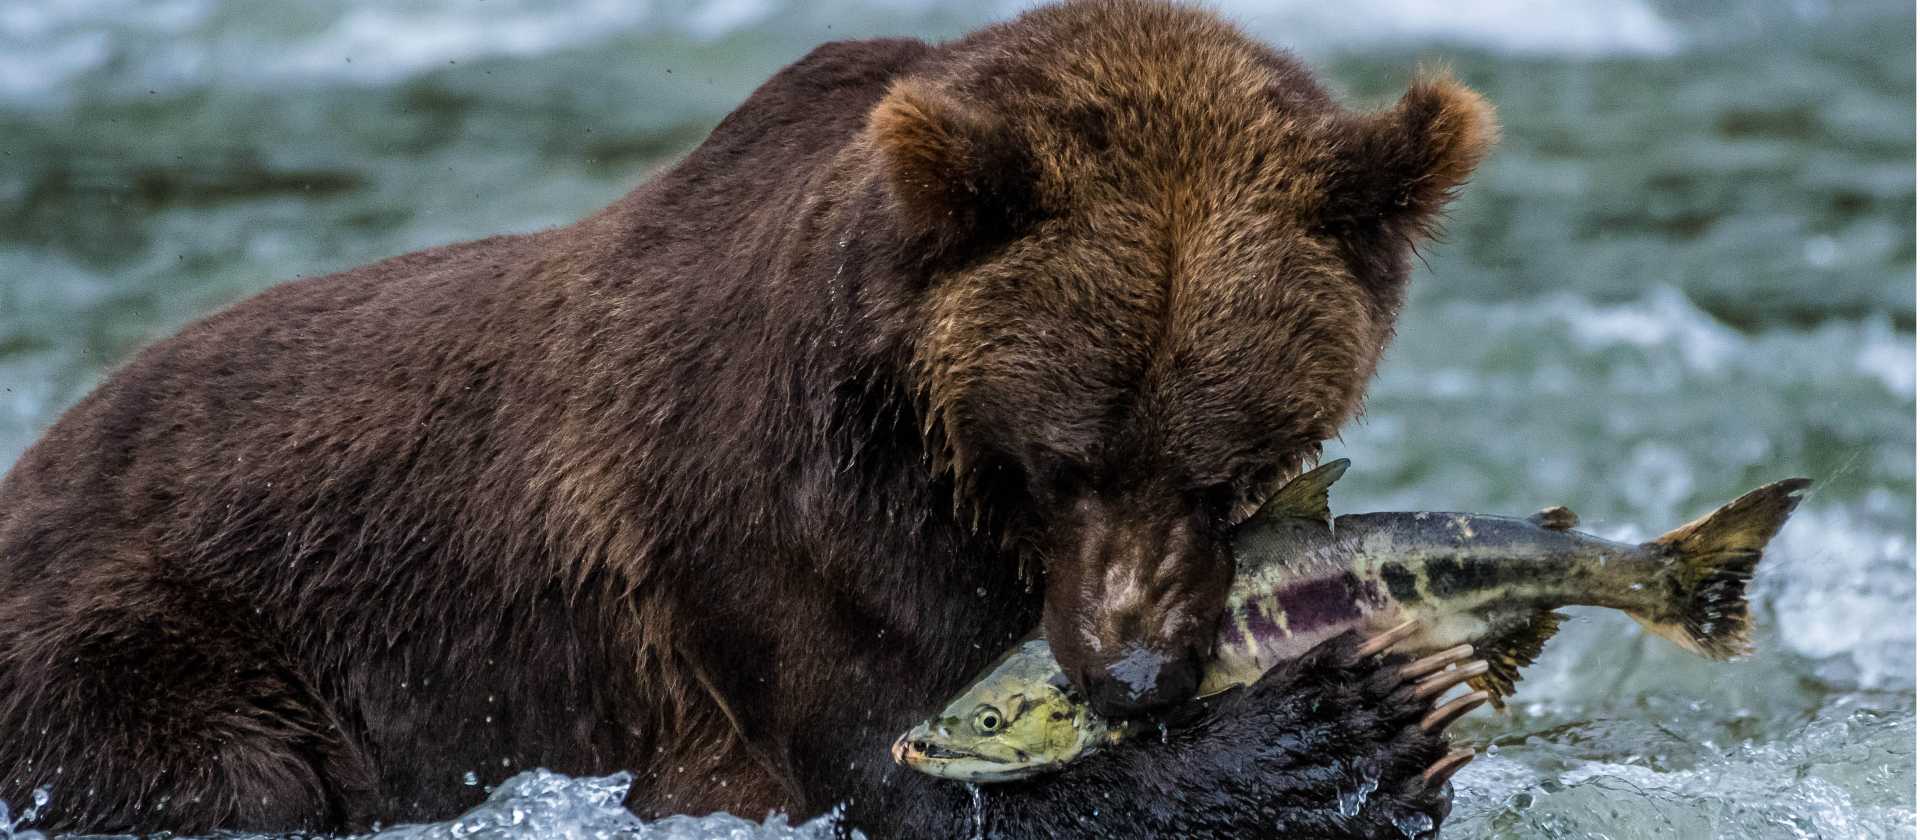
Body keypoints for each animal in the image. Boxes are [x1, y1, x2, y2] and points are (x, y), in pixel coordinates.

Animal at [0, 0, 1495, 836]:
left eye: (1234, 467)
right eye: (1063, 457)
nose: (1132, 673)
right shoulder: (775, 517)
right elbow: (894, 772)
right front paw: (1341, 728)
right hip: (147, 638)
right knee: (234, 775)